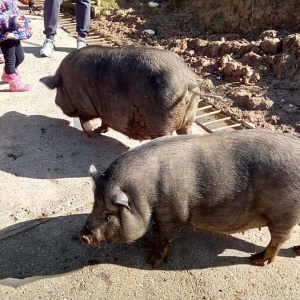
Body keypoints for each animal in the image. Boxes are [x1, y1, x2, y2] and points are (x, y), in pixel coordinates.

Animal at [38, 45, 200, 141]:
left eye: (57, 90)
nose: (55, 102)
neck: (66, 82)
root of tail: (188, 82)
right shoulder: (105, 111)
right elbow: (104, 122)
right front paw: (99, 131)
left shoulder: (84, 105)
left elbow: (85, 121)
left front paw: (91, 134)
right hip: (189, 117)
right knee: (187, 132)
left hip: (162, 120)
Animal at [79, 130, 300, 266]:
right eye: (94, 204)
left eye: (109, 213)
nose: (83, 236)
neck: (144, 194)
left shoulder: (173, 214)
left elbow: (165, 238)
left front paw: (152, 262)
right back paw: (295, 251)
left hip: (283, 214)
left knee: (278, 241)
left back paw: (256, 260)